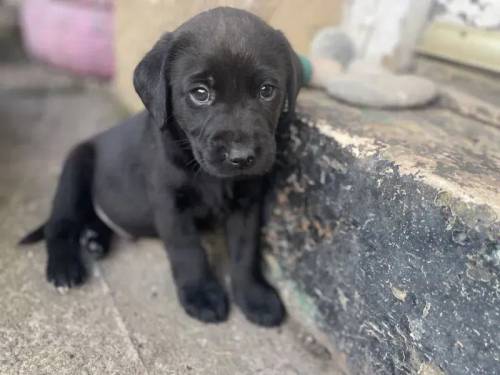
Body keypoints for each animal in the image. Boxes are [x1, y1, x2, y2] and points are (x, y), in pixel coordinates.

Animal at [20, 7, 300, 328]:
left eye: (267, 90)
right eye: (200, 93)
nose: (241, 157)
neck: (207, 175)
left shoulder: (247, 203)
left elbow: (245, 252)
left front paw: (254, 296)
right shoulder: (170, 205)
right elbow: (187, 250)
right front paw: (201, 295)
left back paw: (94, 237)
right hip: (75, 168)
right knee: (60, 225)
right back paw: (64, 266)